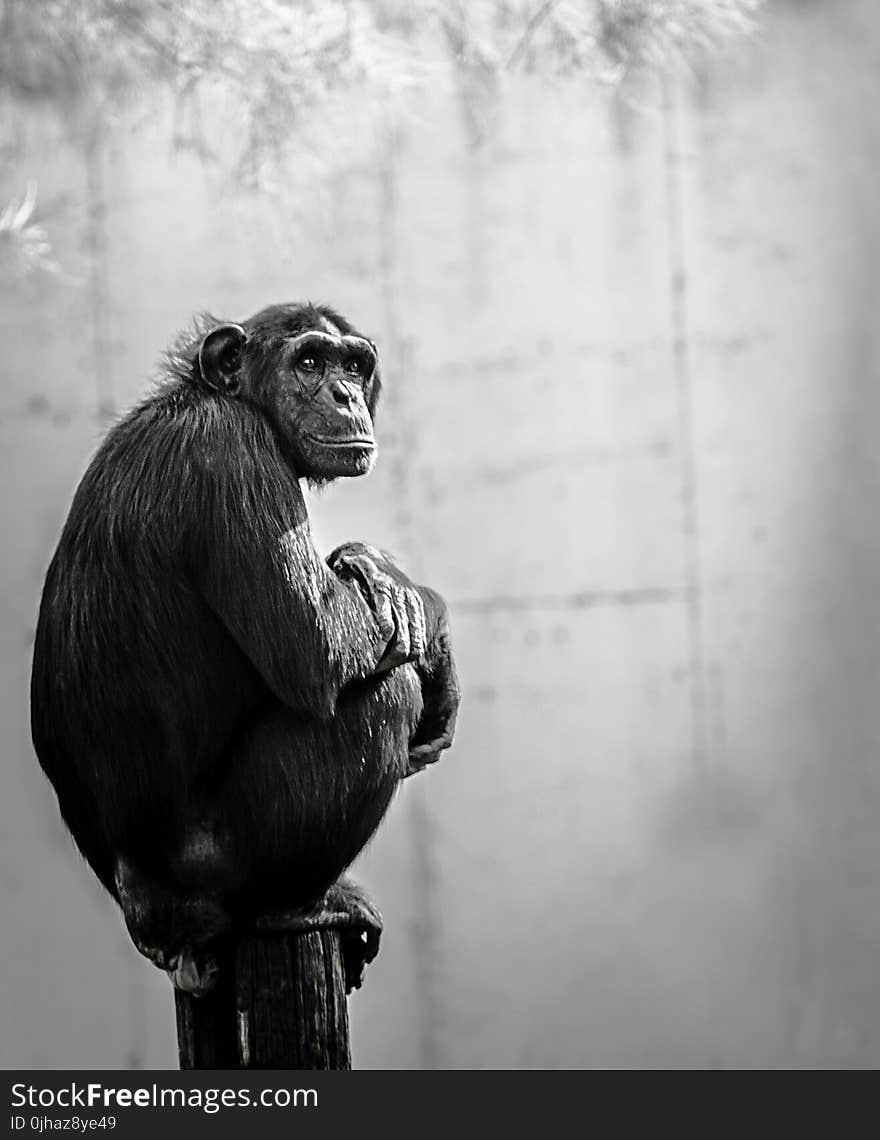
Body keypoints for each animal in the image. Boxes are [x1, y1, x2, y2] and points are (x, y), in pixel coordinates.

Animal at [28, 303, 460, 998]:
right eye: (309, 361)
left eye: (353, 365)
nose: (344, 394)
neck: (224, 399)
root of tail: (152, 920)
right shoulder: (232, 452)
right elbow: (320, 645)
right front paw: (403, 594)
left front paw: (375, 570)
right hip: (224, 864)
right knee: (384, 695)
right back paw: (303, 905)